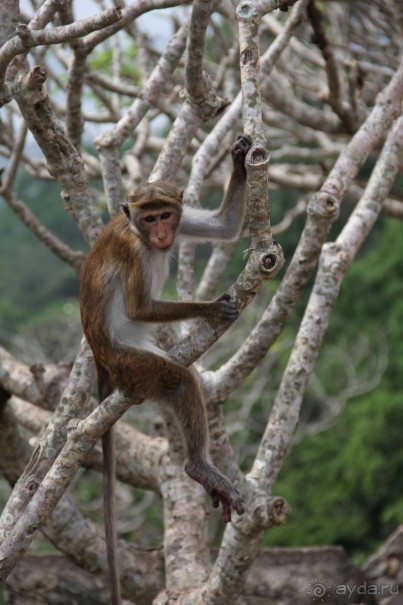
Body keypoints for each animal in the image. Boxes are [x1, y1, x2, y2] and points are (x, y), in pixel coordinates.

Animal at [79, 133, 252, 604]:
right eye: (148, 216)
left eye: (166, 214)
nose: (160, 233)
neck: (136, 231)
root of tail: (100, 356)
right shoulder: (134, 249)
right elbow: (140, 307)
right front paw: (211, 308)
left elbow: (224, 227)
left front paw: (241, 160)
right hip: (132, 364)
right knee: (177, 381)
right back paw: (197, 466)